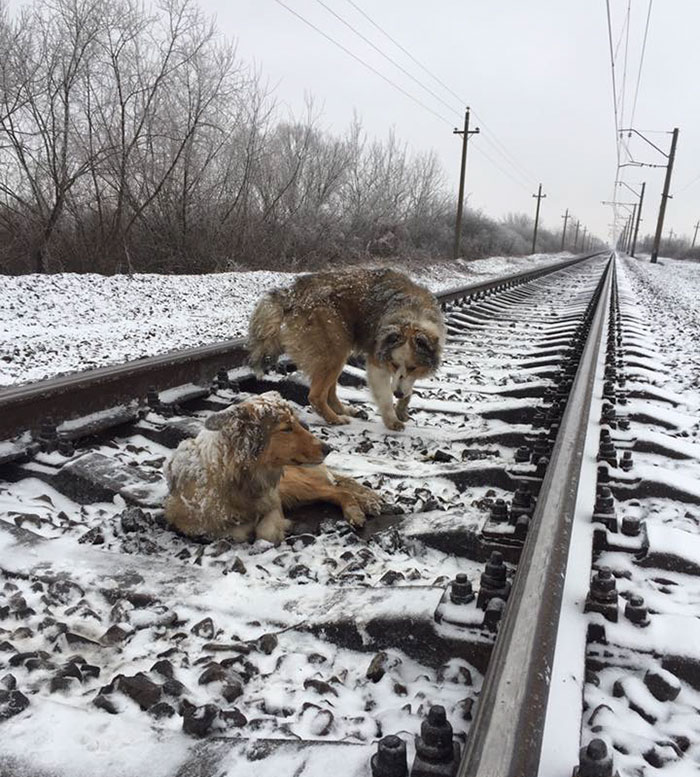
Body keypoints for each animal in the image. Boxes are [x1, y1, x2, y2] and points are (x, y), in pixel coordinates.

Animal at [164, 392, 382, 544]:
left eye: (297, 424)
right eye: (286, 428)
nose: (329, 448)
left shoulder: (274, 500)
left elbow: (265, 532)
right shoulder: (188, 522)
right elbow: (233, 532)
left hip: (295, 485)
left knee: (339, 490)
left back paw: (358, 509)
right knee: (336, 488)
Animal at [247, 268, 442, 430]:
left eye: (413, 367)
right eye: (393, 365)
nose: (398, 393)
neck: (412, 315)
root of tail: (291, 293)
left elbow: (408, 386)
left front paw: (402, 408)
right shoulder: (377, 361)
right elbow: (385, 396)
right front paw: (392, 419)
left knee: (330, 392)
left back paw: (347, 411)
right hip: (334, 349)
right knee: (316, 396)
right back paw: (335, 419)